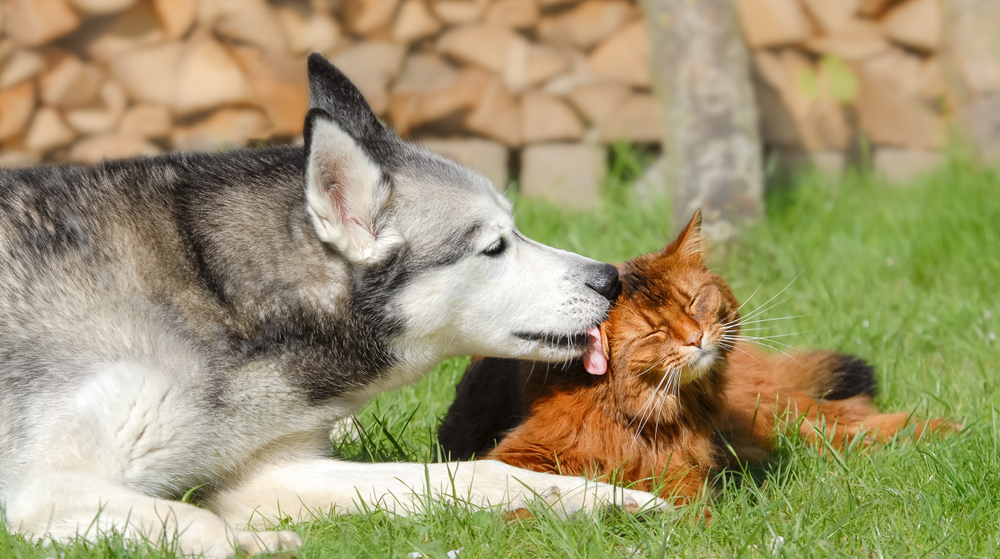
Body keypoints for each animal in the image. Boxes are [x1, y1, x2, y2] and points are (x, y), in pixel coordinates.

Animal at [0, 53, 660, 559]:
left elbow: (475, 473)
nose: (610, 279)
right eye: (494, 247)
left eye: (514, 228)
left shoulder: (272, 475)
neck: (221, 301)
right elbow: (196, 519)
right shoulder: (47, 491)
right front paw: (250, 544)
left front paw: (599, 498)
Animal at [440, 212, 952, 506]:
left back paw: (938, 429)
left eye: (693, 302)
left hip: (767, 411)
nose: (696, 337)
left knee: (839, 417)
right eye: (654, 330)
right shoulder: (517, 456)